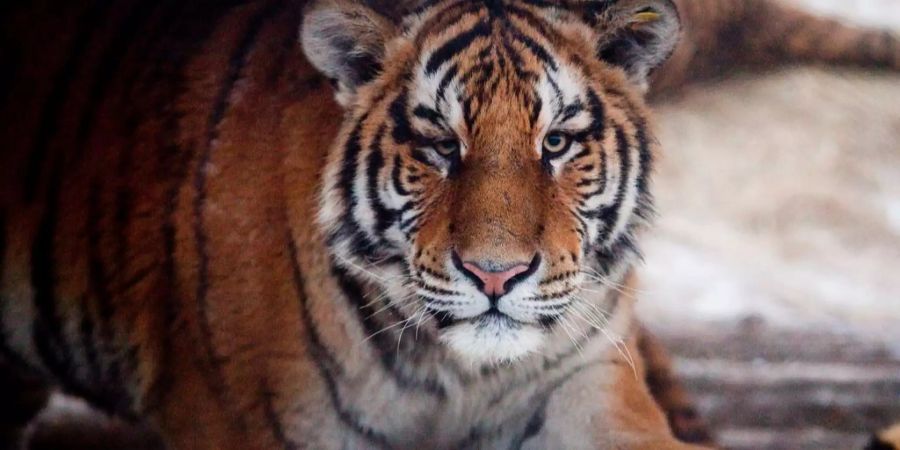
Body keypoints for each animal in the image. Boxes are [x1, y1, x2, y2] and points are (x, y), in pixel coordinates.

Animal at [0, 0, 896, 448]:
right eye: (438, 144)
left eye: (557, 142)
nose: (496, 276)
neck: (454, 375)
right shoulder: (235, 420)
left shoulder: (582, 374)